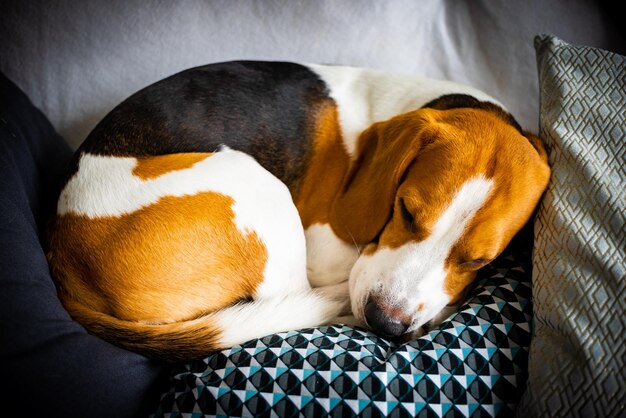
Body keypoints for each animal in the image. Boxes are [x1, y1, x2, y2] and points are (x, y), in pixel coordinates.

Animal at [46, 60, 548, 360]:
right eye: (405, 211)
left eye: (479, 261)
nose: (385, 323)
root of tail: (62, 258)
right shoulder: (325, 248)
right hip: (256, 185)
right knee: (295, 296)